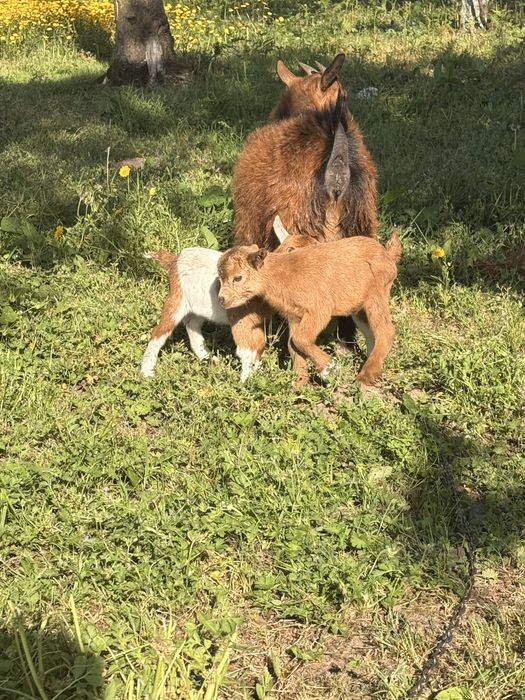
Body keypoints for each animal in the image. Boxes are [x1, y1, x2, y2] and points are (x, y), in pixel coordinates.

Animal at [218, 231, 402, 387]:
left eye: (238, 278)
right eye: (220, 278)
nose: (221, 299)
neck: (283, 275)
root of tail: (388, 255)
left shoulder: (319, 308)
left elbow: (301, 339)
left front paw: (330, 369)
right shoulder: (294, 315)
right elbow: (293, 344)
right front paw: (300, 384)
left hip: (376, 295)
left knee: (386, 331)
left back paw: (366, 375)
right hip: (359, 308)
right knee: (372, 333)